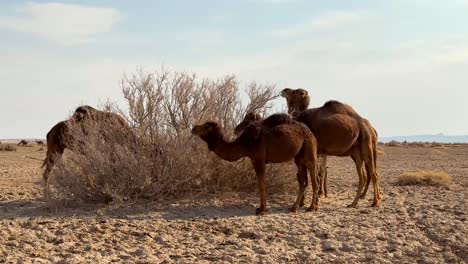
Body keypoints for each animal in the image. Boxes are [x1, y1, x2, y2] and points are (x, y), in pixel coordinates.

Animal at [192, 113, 320, 214]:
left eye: (206, 125)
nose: (193, 128)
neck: (245, 143)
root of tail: (310, 131)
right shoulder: (253, 160)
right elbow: (260, 183)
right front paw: (260, 208)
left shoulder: (259, 159)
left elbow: (261, 184)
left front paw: (262, 210)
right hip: (298, 158)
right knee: (303, 181)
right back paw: (294, 207)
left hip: (309, 149)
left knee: (314, 179)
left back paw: (311, 208)